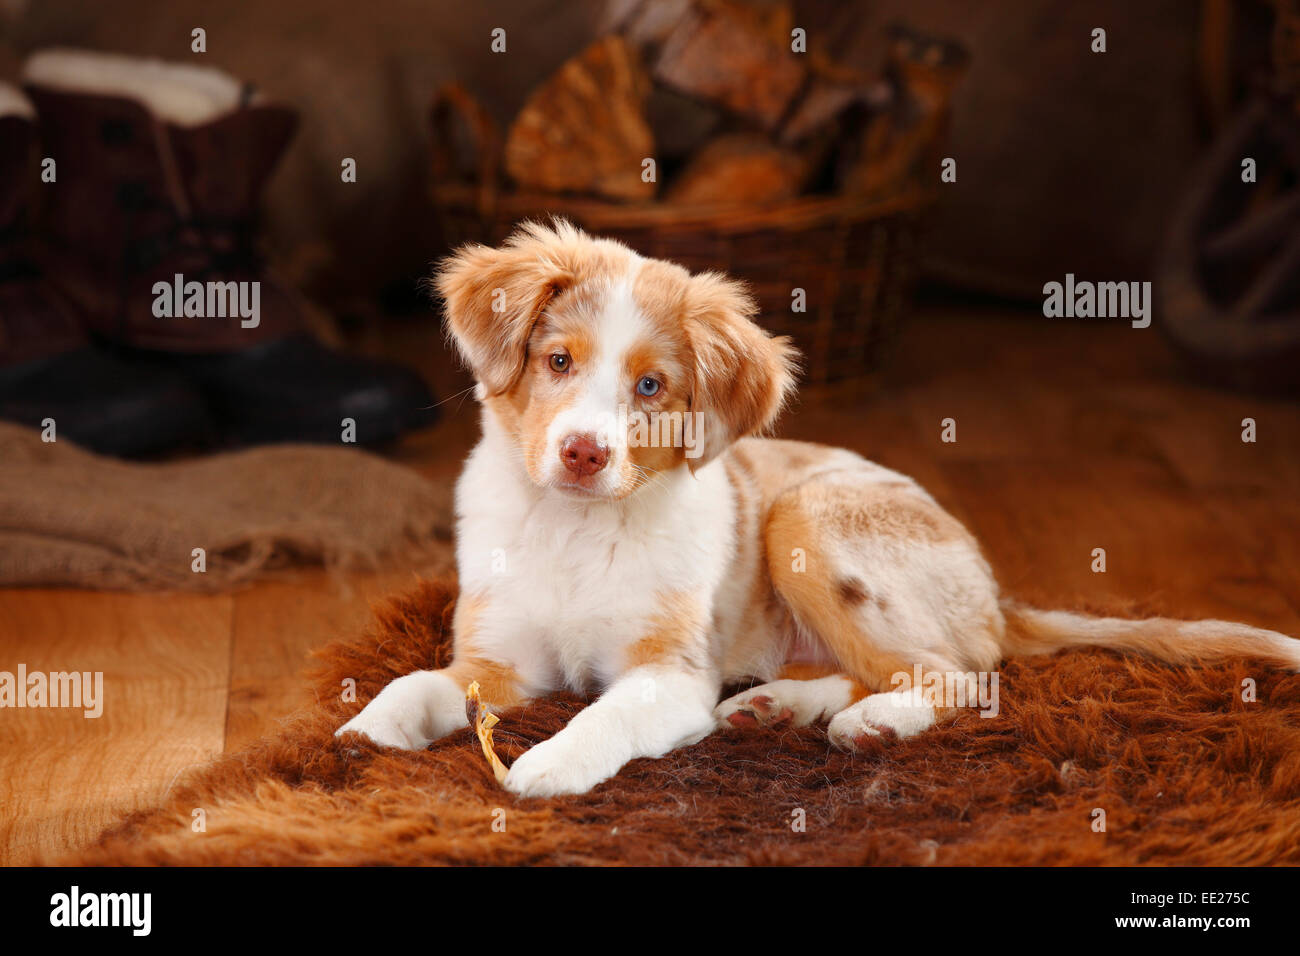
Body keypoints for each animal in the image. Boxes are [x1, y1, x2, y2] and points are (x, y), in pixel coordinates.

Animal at [340, 222, 1300, 801]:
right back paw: (778, 708)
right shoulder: (497, 660)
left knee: (962, 673)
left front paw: (547, 765)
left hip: (806, 517)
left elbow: (602, 713)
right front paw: (362, 731)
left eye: (651, 387)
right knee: (888, 664)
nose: (583, 455)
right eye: (557, 361)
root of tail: (995, 594)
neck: (578, 529)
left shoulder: (671, 676)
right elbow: (417, 680)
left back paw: (872, 722)